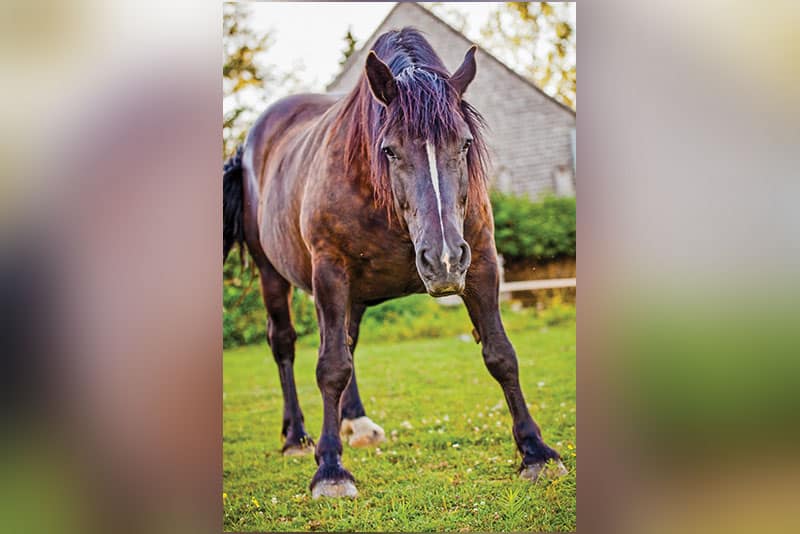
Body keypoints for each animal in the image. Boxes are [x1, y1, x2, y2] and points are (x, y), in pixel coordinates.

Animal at [223, 27, 566, 498]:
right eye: (389, 150)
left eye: (465, 143)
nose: (443, 259)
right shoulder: (330, 270)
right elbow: (330, 367)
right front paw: (330, 469)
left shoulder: (480, 263)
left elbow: (501, 354)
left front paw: (536, 452)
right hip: (274, 273)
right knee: (286, 344)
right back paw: (296, 437)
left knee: (345, 340)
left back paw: (355, 423)